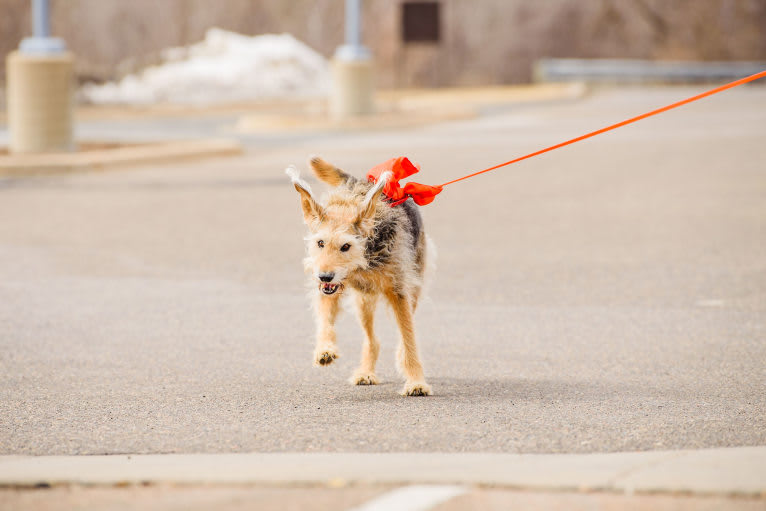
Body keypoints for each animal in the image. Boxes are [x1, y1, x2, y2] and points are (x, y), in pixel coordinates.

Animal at [286, 158, 432, 398]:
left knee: (402, 333)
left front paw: (416, 383)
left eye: (346, 246)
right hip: (363, 302)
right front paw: (325, 349)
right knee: (372, 339)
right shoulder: (329, 288)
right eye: (320, 243)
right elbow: (325, 318)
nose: (324, 276)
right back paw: (365, 372)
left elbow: (409, 338)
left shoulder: (399, 292)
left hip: (414, 287)